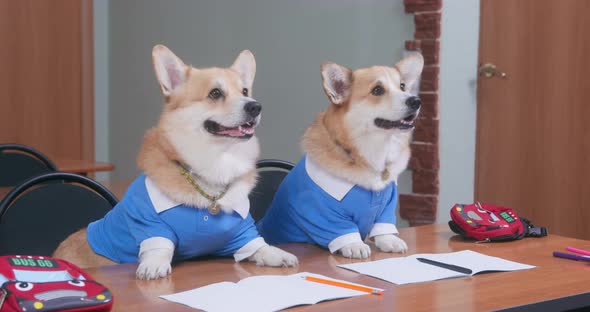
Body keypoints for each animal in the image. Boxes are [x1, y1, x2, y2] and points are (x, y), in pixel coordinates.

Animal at [53, 45, 298, 280]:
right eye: (215, 93)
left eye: (245, 91)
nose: (255, 106)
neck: (216, 161)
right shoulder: (149, 224)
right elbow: (159, 248)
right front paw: (153, 266)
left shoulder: (241, 231)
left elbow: (257, 246)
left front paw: (277, 253)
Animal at [256, 53, 424, 258]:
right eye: (377, 90)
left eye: (402, 87)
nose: (415, 101)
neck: (372, 154)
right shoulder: (320, 210)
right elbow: (342, 230)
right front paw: (355, 245)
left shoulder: (387, 205)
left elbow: (383, 226)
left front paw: (389, 240)